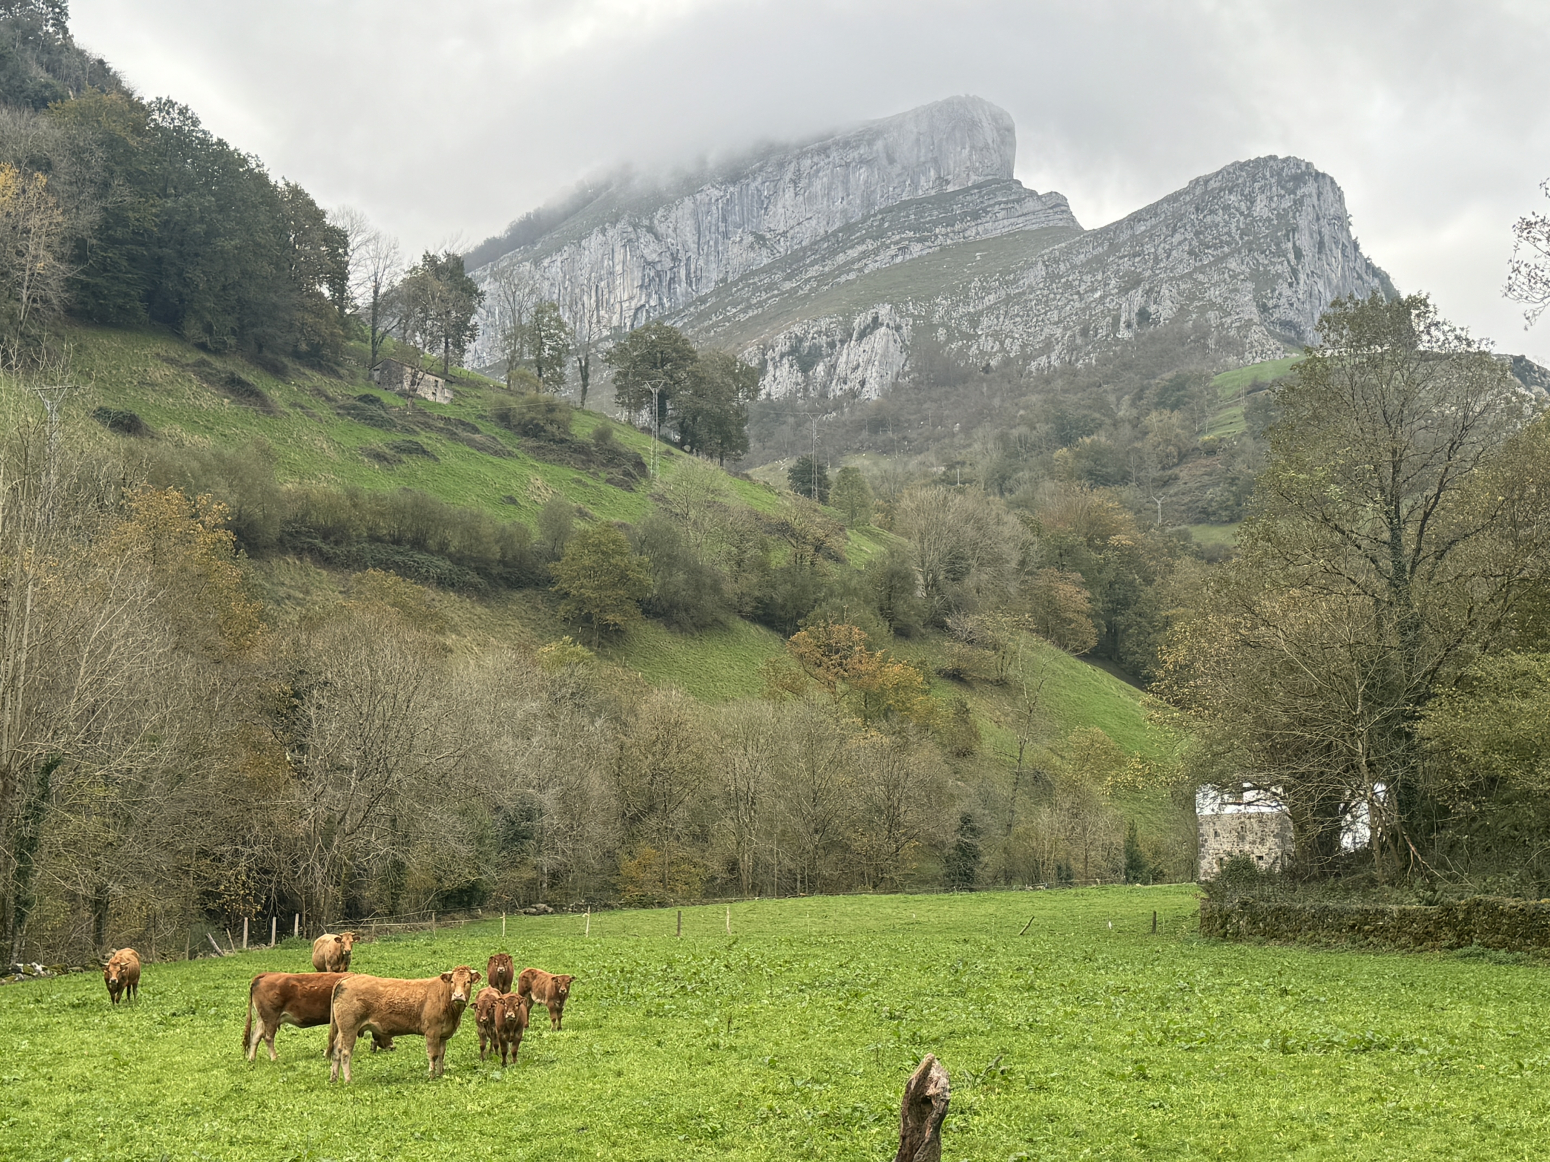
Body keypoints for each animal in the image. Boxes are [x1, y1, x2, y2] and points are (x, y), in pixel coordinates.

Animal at [240, 972, 393, 1065]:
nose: (392, 1046)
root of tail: (265, 975)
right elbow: (333, 1036)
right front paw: (328, 1053)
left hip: (262, 1018)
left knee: (255, 1036)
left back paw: (251, 1059)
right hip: (271, 1017)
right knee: (268, 1038)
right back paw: (274, 1058)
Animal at [323, 966, 474, 1084]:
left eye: (468, 982)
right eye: (453, 981)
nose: (458, 996)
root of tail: (346, 979)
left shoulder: (442, 1035)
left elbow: (441, 1055)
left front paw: (441, 1073)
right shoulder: (432, 1032)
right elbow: (433, 1055)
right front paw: (431, 1076)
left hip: (342, 1030)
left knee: (336, 1049)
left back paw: (334, 1078)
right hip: (349, 1029)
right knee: (345, 1052)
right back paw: (348, 1080)